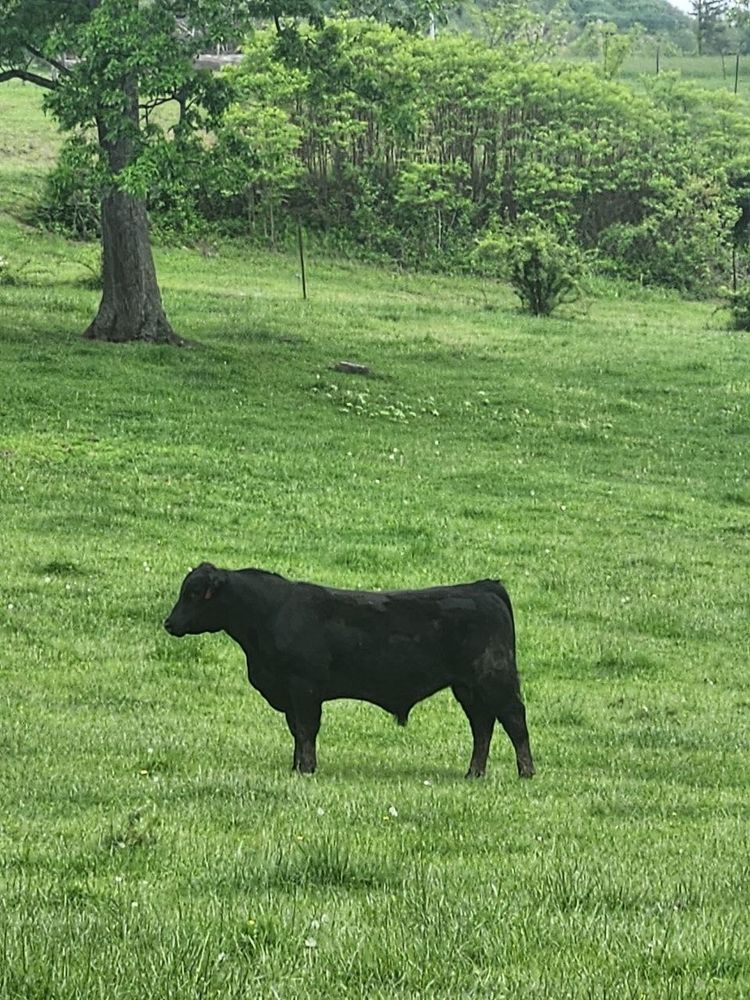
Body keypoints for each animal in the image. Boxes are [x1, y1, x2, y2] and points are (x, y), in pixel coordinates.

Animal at [164, 563, 534, 780]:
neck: (269, 614)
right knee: (482, 727)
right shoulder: (289, 693)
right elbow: (296, 732)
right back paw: (474, 773)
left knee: (514, 721)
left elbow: (306, 729)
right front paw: (296, 767)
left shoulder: (304, 688)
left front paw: (306, 770)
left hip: (494, 679)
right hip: (468, 688)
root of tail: (483, 586)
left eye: (193, 593)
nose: (169, 623)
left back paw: (525, 772)